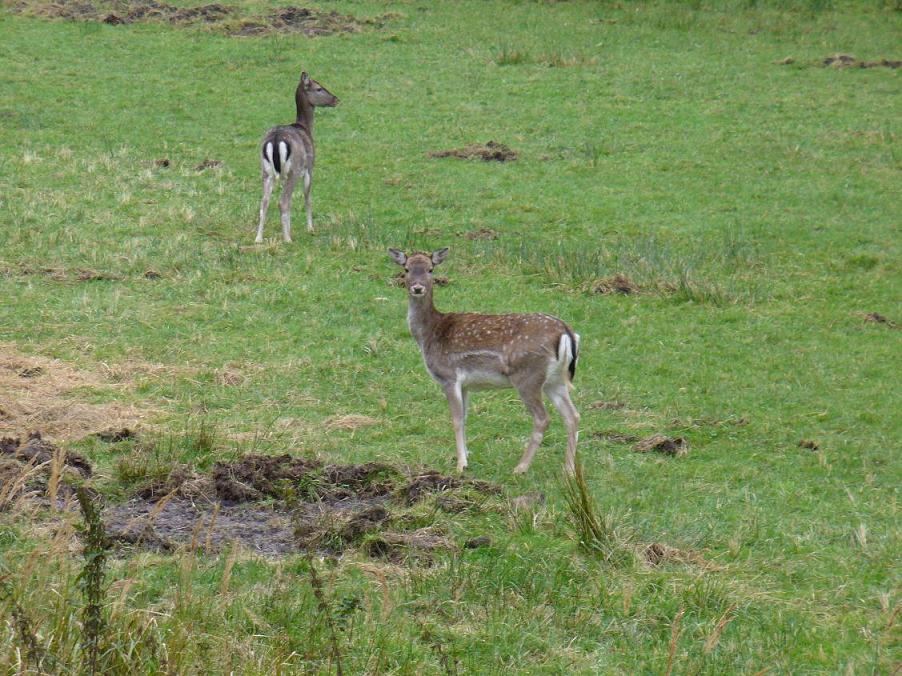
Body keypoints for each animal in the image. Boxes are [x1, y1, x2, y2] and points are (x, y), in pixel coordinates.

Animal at [256, 70, 340, 243]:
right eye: (319, 88)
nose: (336, 99)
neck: (306, 128)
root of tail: (275, 140)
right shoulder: (309, 168)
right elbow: (308, 197)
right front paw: (310, 229)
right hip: (294, 170)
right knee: (282, 202)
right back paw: (287, 239)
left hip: (266, 171)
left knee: (264, 202)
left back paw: (258, 238)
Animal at [392, 248, 584, 476]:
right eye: (406, 269)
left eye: (431, 269)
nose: (417, 288)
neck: (428, 334)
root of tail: (567, 333)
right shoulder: (465, 385)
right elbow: (465, 417)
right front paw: (466, 456)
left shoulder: (448, 376)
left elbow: (456, 419)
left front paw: (460, 465)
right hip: (555, 380)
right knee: (572, 415)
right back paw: (569, 470)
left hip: (527, 376)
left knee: (542, 418)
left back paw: (520, 467)